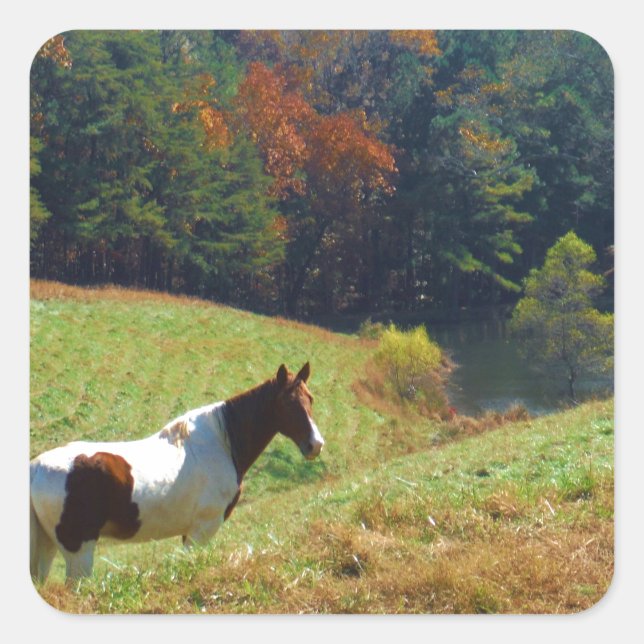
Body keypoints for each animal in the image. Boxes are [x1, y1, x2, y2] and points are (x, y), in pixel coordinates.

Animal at [30, 362, 324, 582]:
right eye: (287, 403)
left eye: (310, 399)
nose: (315, 444)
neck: (221, 442)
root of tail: (35, 468)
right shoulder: (201, 530)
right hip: (79, 551)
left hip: (46, 546)